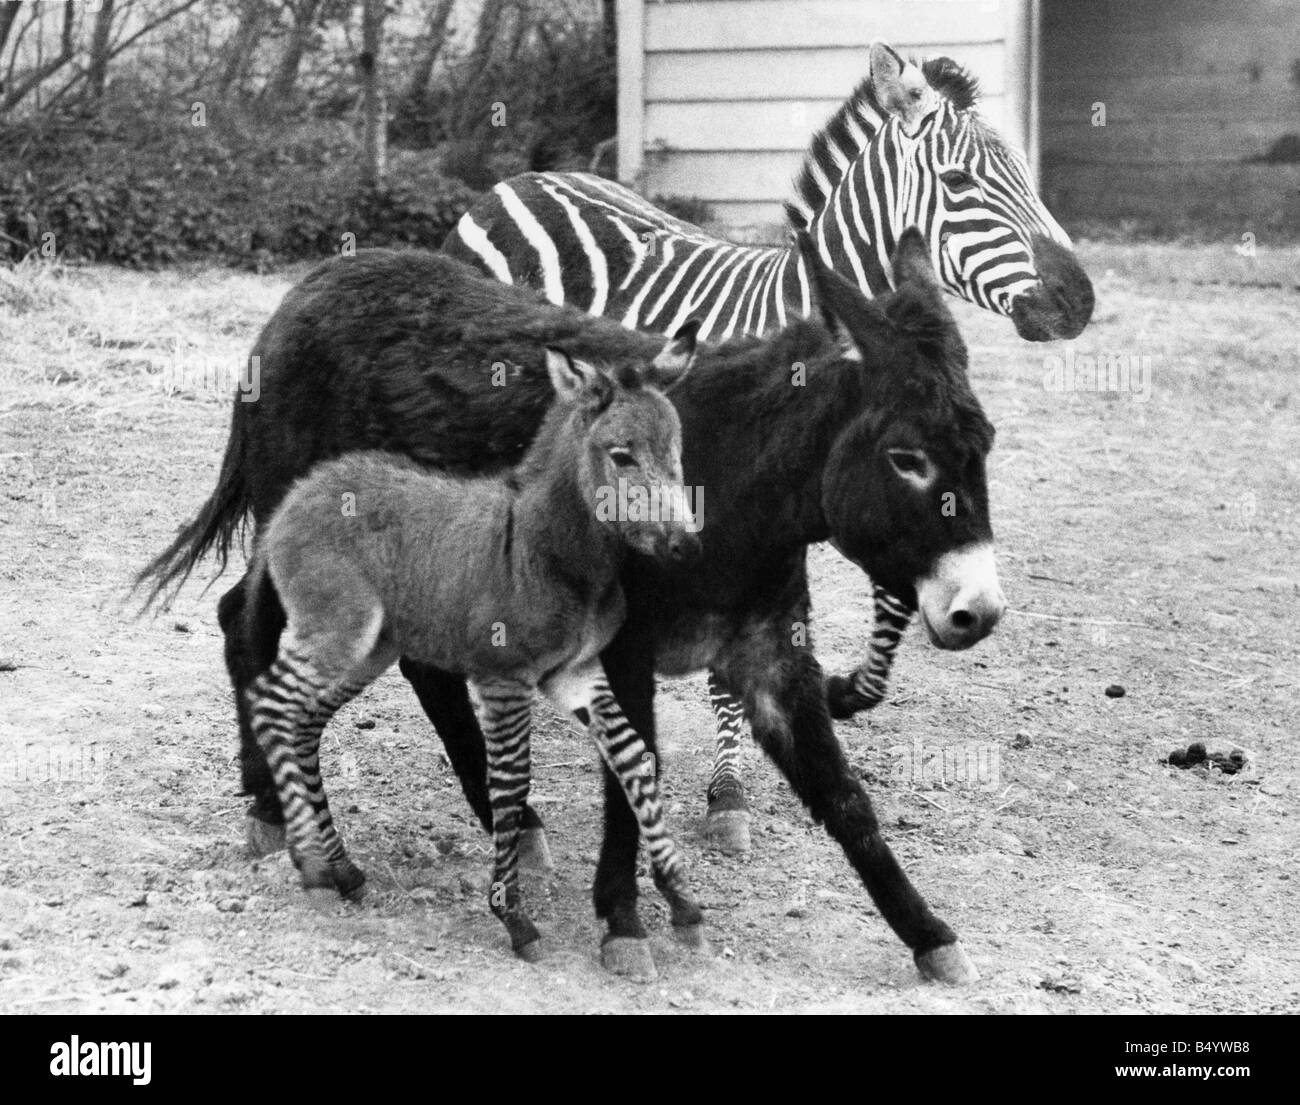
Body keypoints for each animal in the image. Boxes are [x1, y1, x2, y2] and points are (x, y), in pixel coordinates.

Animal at [459, 41, 1093, 855]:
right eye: (958, 183)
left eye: (1026, 175)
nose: (1079, 301)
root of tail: (517, 181)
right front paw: (727, 794)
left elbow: (893, 599)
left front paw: (846, 693)